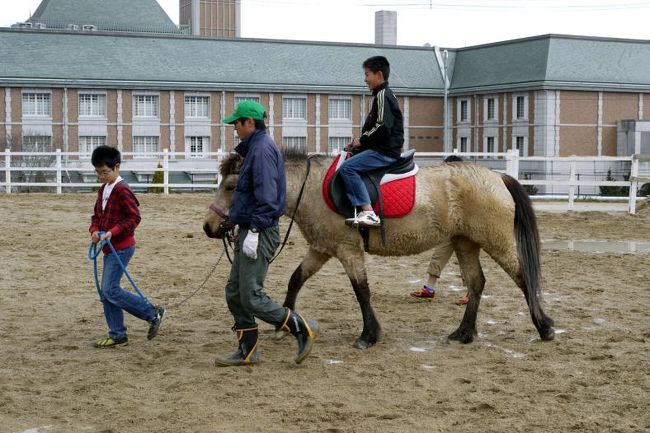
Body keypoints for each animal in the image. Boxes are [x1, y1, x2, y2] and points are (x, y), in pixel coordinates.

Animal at [202, 148, 552, 348]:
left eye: (232, 186)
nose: (209, 226)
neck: (312, 186)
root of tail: (497, 176)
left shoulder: (348, 250)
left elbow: (362, 291)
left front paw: (369, 335)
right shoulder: (322, 249)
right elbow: (295, 279)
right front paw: (284, 325)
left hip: (496, 241)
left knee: (523, 277)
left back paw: (544, 327)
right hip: (465, 242)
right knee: (477, 283)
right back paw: (463, 333)